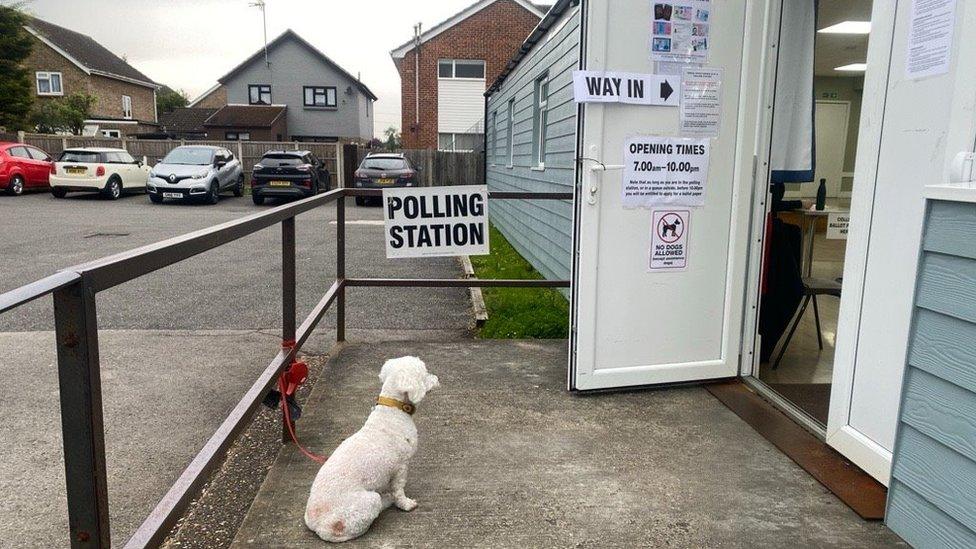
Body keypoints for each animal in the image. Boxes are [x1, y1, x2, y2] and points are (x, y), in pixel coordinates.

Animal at [304, 356, 438, 540]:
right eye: (425, 374)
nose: (437, 379)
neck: (393, 410)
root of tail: (317, 525)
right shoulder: (401, 466)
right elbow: (399, 490)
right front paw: (405, 504)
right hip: (367, 503)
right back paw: (386, 502)